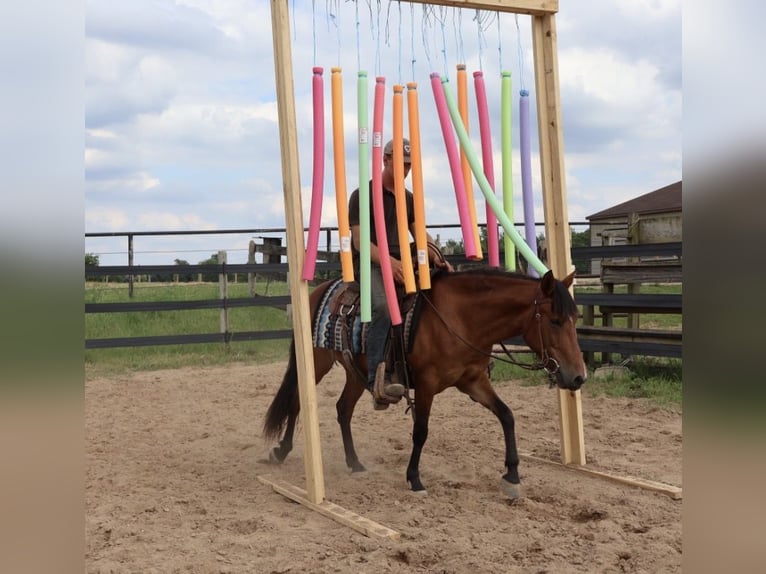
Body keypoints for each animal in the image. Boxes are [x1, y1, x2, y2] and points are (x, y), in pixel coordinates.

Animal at [262, 268, 587, 498]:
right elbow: (421, 431)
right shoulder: (427, 384)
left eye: (575, 317)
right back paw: (282, 451)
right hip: (315, 362)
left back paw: (354, 463)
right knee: (297, 400)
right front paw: (414, 478)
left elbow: (507, 415)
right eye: (555, 320)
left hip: (356, 371)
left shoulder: (474, 381)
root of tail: (317, 291)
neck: (461, 319)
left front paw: (512, 476)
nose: (578, 376)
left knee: (343, 409)